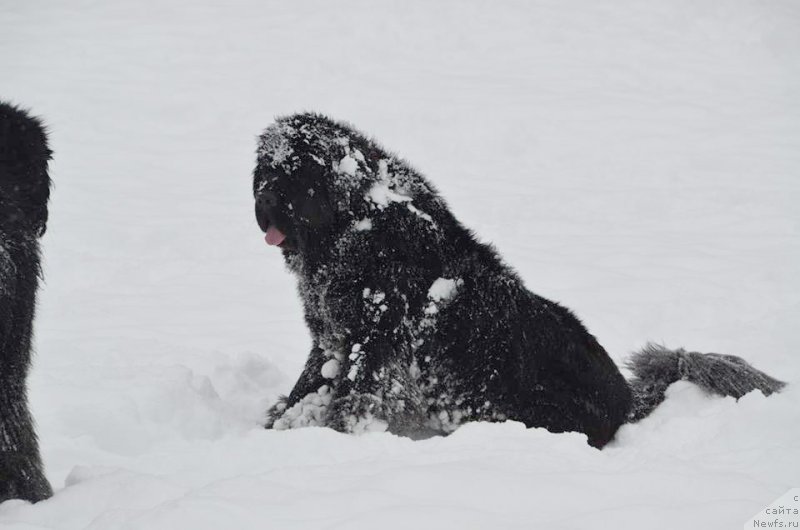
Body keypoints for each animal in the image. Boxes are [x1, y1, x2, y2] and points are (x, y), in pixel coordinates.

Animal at [253, 113, 784, 448]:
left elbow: (353, 393)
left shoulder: (377, 337)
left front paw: (327, 435)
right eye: (265, 170)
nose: (265, 200)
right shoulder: (331, 335)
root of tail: (627, 402)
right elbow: (311, 382)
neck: (352, 222)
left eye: (297, 173)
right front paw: (281, 423)